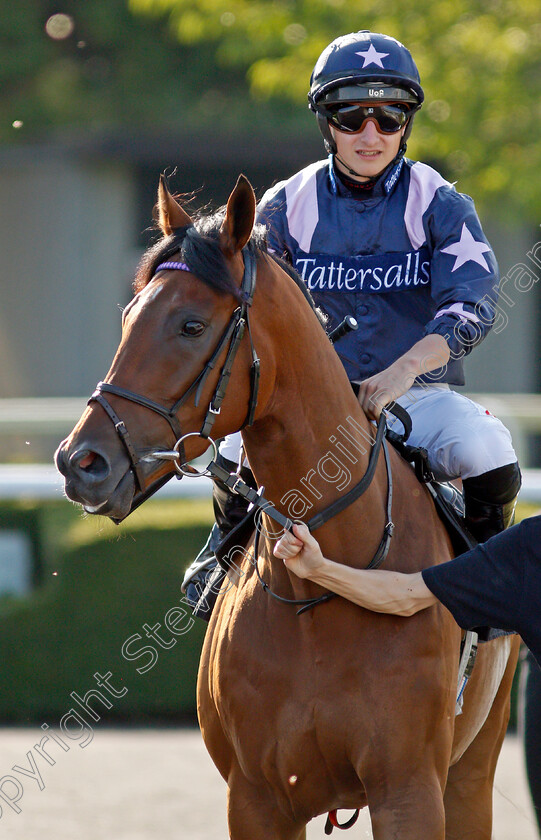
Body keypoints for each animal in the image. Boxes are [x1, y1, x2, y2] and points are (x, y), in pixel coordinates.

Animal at [56, 174, 520, 836]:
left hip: (473, 771)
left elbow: (464, 303)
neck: (323, 592)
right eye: (128, 315)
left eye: (191, 325)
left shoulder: (409, 789)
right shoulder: (257, 798)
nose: (80, 462)